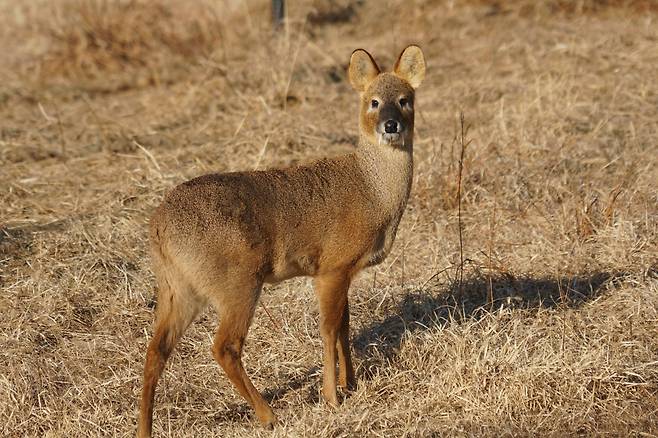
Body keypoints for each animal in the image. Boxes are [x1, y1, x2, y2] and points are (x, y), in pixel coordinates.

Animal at [138, 44, 426, 434]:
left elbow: (344, 326)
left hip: (179, 290)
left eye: (405, 99)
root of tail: (158, 228)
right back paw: (269, 415)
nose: (391, 125)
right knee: (224, 346)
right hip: (237, 283)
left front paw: (350, 384)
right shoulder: (332, 268)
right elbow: (328, 329)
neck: (372, 189)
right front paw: (332, 398)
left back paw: (144, 428)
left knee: (156, 350)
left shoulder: (344, 272)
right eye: (374, 102)